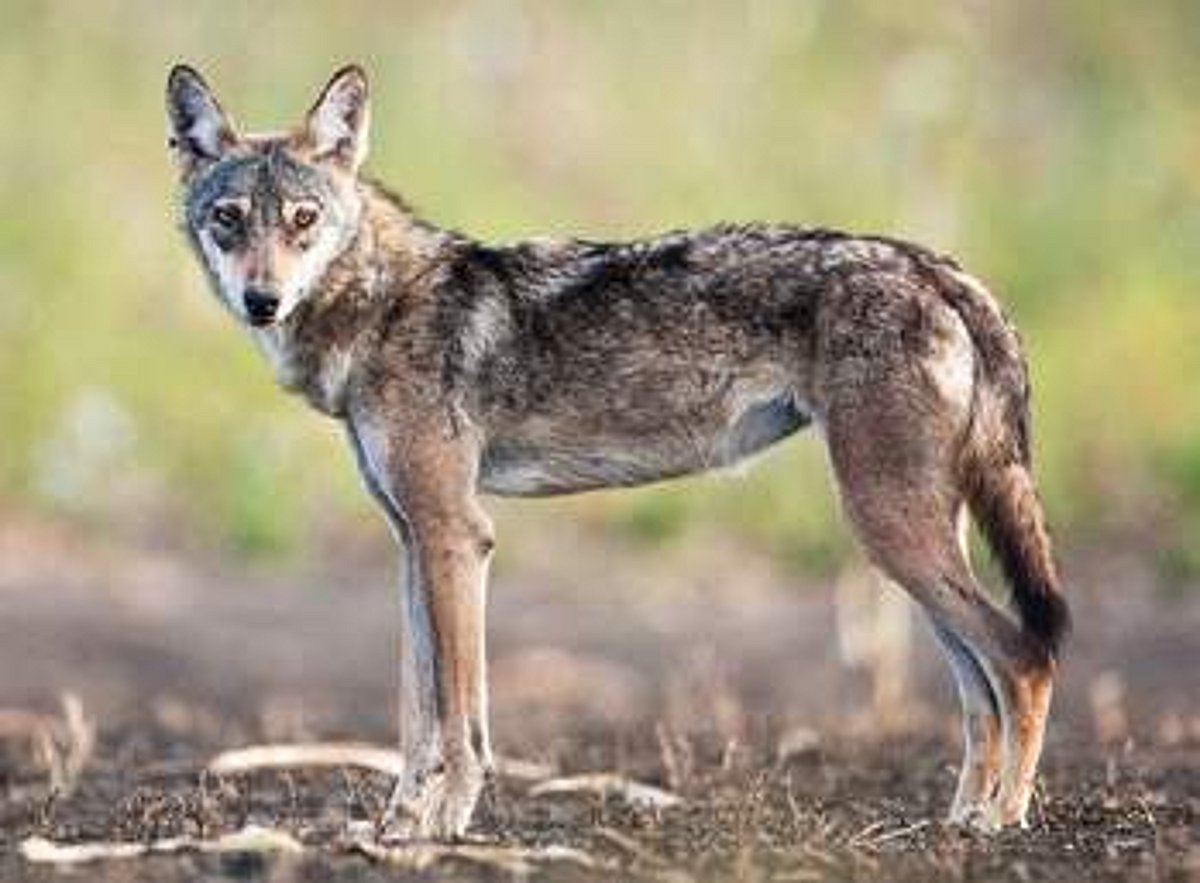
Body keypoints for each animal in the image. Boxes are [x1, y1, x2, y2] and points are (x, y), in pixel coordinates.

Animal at [167, 64, 1069, 838]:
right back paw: (960, 815)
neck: (382, 304)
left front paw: (444, 826)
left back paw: (1003, 817)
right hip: (912, 541)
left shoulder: (457, 535)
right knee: (978, 687)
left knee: (1024, 655)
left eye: (303, 221)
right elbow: (417, 713)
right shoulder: (411, 542)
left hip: (889, 529)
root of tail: (935, 266)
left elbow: (460, 720)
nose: (261, 299)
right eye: (229, 219)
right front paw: (398, 826)